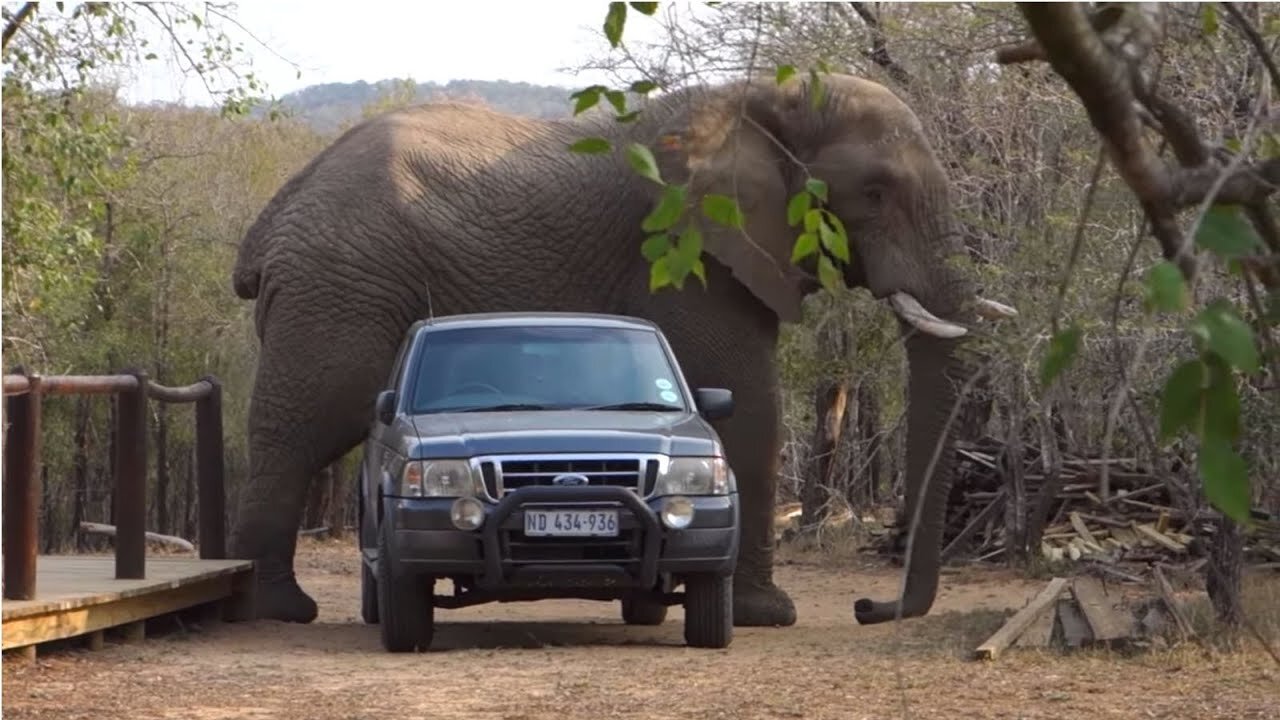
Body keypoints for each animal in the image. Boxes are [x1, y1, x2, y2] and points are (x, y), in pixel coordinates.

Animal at [227, 70, 1008, 625]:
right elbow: (752, 408)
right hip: (337, 291)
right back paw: (281, 610)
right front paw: (768, 616)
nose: (868, 607)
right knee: (299, 431)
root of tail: (272, 219)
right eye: (874, 192)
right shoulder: (686, 251)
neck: (760, 97)